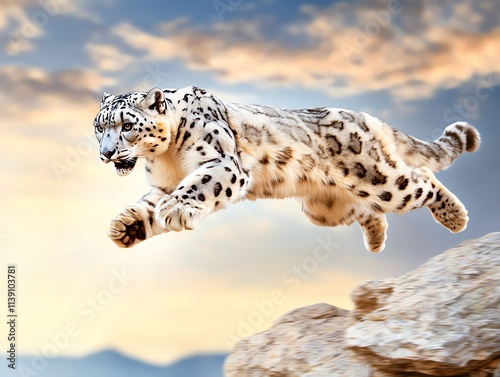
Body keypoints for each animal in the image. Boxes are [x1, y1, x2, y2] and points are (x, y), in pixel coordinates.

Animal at [93, 86, 480, 251]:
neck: (166, 157)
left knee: (419, 179)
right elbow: (148, 205)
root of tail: (366, 117)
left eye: (126, 125)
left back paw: (455, 216)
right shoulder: (161, 185)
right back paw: (376, 238)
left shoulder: (221, 162)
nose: (106, 153)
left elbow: (198, 184)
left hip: (377, 177)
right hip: (325, 208)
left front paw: (176, 209)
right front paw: (126, 226)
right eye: (99, 127)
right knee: (366, 210)